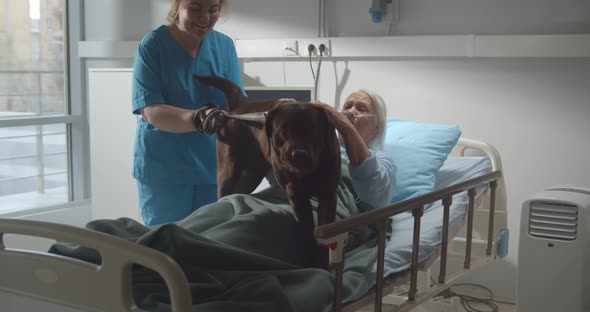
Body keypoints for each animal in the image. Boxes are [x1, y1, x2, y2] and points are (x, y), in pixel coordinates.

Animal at [195, 75, 342, 268]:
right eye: (283, 130)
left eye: (313, 130)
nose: (299, 155)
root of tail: (239, 106)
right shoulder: (296, 195)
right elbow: (307, 229)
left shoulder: (328, 194)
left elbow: (325, 230)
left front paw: (323, 261)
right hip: (228, 169)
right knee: (224, 192)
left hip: (251, 175)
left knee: (239, 191)